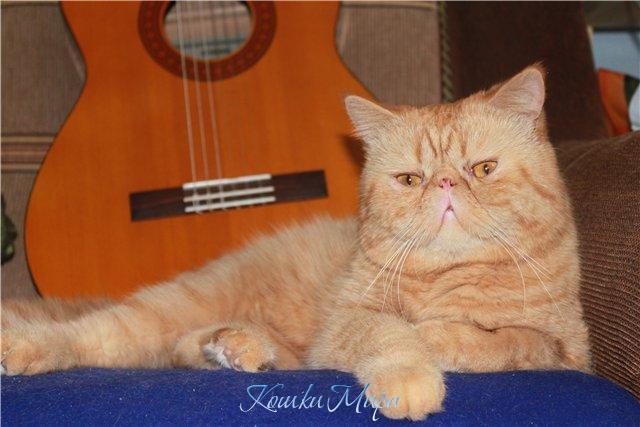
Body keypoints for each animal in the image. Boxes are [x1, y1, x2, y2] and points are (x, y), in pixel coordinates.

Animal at [1, 65, 590, 421]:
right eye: (409, 180)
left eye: (483, 169)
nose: (444, 185)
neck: (453, 276)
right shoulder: (347, 323)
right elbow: (393, 332)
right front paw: (412, 372)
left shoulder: (569, 351)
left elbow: (506, 341)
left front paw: (442, 335)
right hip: (168, 306)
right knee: (92, 336)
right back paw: (22, 346)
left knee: (179, 349)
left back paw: (237, 348)